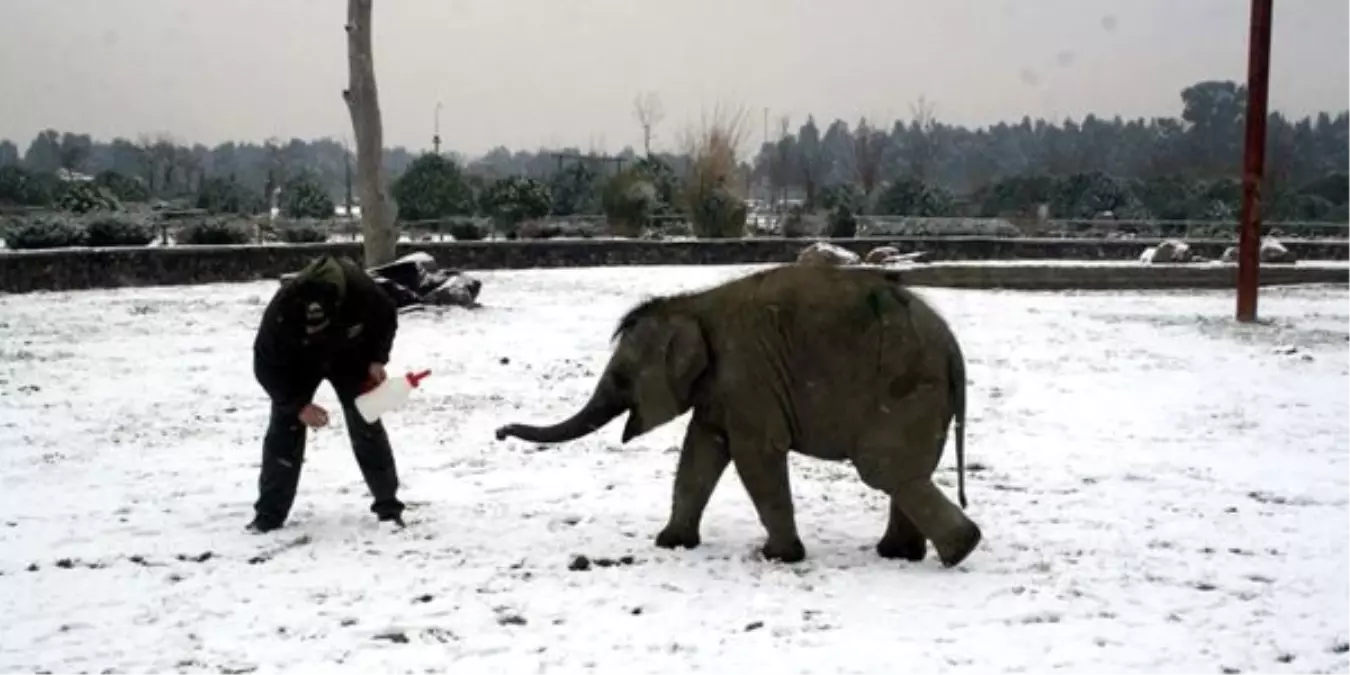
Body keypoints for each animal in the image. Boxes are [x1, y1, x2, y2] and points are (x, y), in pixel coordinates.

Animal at [496, 260, 982, 567]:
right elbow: (700, 451)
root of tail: (953, 349)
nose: (499, 433)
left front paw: (779, 558)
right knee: (906, 474)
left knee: (886, 471)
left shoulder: (746, 376)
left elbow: (754, 455)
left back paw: (958, 552)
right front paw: (670, 544)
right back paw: (903, 554)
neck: (690, 304)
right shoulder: (720, 389)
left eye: (620, 377)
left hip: (905, 391)